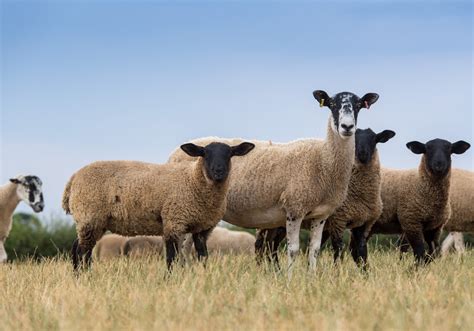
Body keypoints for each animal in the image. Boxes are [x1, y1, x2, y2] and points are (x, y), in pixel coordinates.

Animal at [64, 141, 256, 274]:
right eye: (204, 153)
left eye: (230, 154)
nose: (218, 171)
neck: (192, 180)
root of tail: (73, 179)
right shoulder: (173, 221)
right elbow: (171, 257)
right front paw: (170, 279)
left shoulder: (203, 228)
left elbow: (203, 256)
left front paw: (204, 275)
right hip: (89, 216)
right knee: (82, 251)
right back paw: (85, 277)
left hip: (93, 221)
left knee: (77, 248)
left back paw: (79, 277)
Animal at [168, 91, 380, 278]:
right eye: (332, 104)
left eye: (359, 105)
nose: (347, 127)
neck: (322, 158)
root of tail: (174, 153)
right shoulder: (295, 208)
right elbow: (294, 249)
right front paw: (290, 280)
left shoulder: (321, 215)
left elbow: (314, 249)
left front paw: (311, 279)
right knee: (183, 245)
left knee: (192, 244)